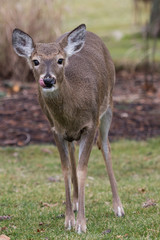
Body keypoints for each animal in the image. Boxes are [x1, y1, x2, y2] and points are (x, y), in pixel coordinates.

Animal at [12, 23, 124, 232]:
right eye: (35, 61)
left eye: (60, 60)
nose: (48, 80)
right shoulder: (55, 129)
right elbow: (65, 168)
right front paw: (69, 220)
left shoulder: (91, 124)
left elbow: (82, 169)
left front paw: (81, 224)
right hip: (70, 133)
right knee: (73, 153)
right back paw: (77, 202)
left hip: (109, 104)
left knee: (105, 146)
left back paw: (118, 207)